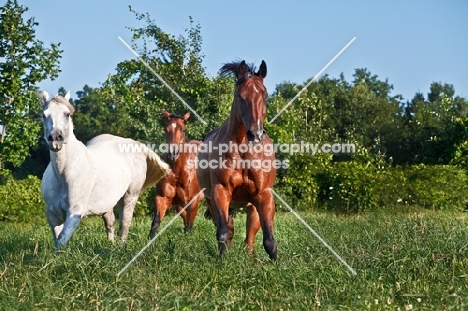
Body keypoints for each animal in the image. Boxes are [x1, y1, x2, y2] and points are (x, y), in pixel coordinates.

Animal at [40, 89, 170, 249]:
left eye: (67, 114)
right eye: (44, 115)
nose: (55, 138)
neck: (63, 174)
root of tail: (134, 143)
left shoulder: (75, 212)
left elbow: (61, 240)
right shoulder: (52, 214)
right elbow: (58, 239)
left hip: (130, 196)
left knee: (124, 224)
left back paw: (121, 247)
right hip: (107, 202)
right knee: (110, 222)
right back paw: (111, 245)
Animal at [148, 111, 203, 239]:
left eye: (183, 130)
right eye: (165, 129)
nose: (173, 153)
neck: (178, 172)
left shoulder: (193, 200)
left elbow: (189, 226)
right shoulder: (162, 197)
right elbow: (155, 222)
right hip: (179, 205)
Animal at [197, 60, 278, 260]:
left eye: (265, 95)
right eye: (241, 97)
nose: (255, 135)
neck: (243, 152)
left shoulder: (264, 195)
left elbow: (269, 239)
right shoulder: (221, 192)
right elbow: (224, 232)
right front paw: (222, 262)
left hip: (252, 207)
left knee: (250, 235)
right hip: (212, 201)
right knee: (228, 229)